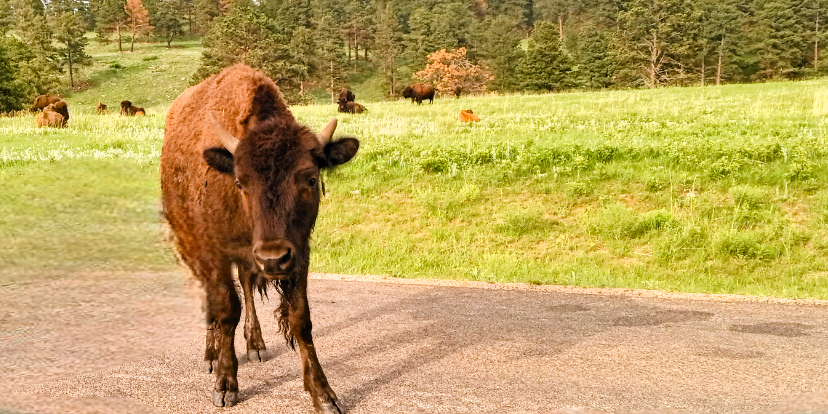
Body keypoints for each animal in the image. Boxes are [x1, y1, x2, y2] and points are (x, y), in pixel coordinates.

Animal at [160, 64, 359, 413]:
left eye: (311, 179)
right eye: (240, 182)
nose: (272, 257)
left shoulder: (298, 253)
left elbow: (300, 318)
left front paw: (324, 395)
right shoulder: (215, 252)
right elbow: (228, 309)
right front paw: (225, 385)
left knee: (247, 286)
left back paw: (256, 345)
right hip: (194, 246)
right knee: (213, 299)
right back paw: (210, 355)